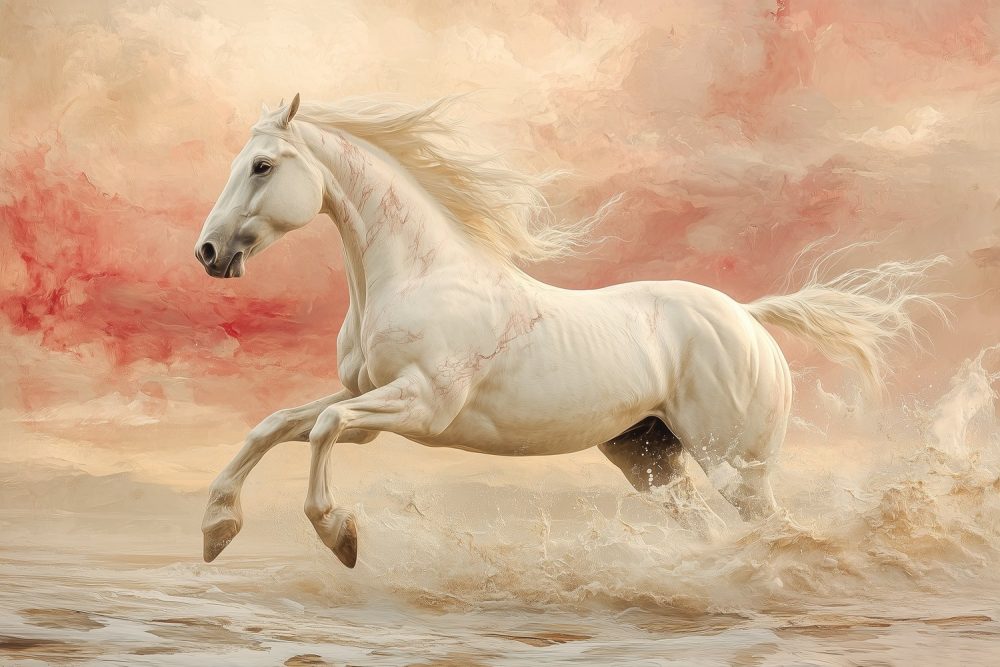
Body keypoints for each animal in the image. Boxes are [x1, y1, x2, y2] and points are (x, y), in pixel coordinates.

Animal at [194, 94, 943, 568]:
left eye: (262, 165)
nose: (207, 253)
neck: (417, 273)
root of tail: (748, 318)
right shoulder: (367, 403)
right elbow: (274, 424)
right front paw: (217, 530)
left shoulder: (421, 405)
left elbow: (319, 428)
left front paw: (340, 536)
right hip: (650, 460)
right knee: (707, 530)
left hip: (736, 465)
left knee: (774, 528)